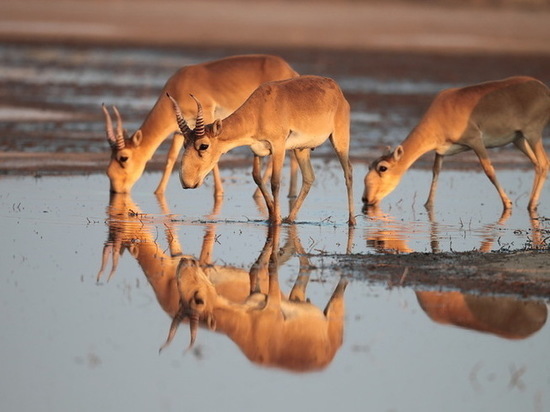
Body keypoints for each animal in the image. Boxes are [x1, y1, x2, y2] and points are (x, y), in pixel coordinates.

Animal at [103, 54, 302, 195]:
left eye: (123, 157)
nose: (115, 190)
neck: (179, 86)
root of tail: (291, 71)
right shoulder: (179, 132)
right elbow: (170, 158)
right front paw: (158, 192)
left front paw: (219, 192)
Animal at [169, 75, 358, 227]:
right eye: (185, 143)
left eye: (203, 145)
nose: (186, 182)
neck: (260, 109)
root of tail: (337, 90)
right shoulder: (257, 150)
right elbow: (256, 177)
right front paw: (272, 216)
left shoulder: (278, 147)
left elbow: (275, 182)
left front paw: (277, 220)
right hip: (301, 149)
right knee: (309, 177)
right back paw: (290, 218)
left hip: (340, 140)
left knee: (348, 172)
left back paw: (352, 221)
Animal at [364, 76, 548, 214]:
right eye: (369, 165)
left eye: (383, 168)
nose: (365, 199)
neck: (442, 112)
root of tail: (544, 88)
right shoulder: (441, 152)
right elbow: (436, 172)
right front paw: (428, 205)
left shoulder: (476, 141)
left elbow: (489, 170)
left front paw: (508, 203)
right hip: (518, 139)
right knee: (537, 164)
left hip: (532, 134)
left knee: (544, 163)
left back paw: (531, 205)